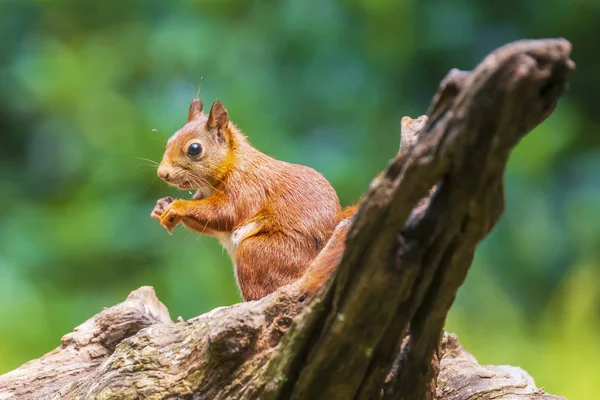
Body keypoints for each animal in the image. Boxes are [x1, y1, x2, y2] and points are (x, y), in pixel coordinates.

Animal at [151, 97, 356, 300]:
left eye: (194, 149)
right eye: (170, 141)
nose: (162, 173)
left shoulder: (247, 189)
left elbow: (224, 214)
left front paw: (178, 206)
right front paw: (161, 206)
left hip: (258, 252)